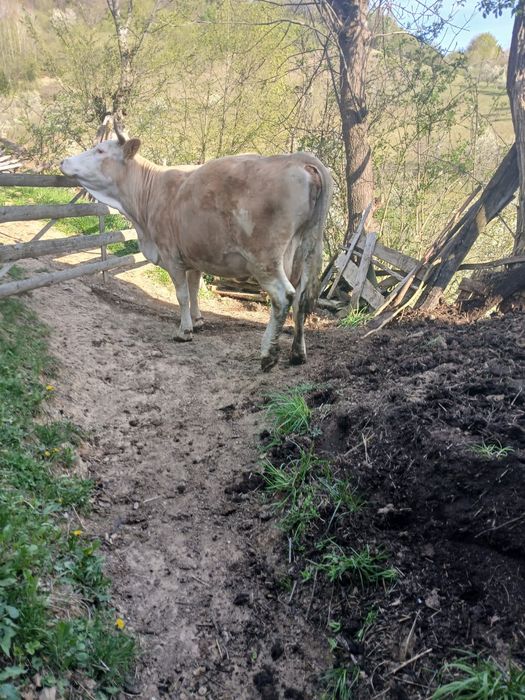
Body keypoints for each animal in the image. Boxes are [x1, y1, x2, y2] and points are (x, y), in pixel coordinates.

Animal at [60, 128, 333, 371]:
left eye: (100, 150)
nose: (64, 161)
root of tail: (297, 158)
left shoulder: (171, 254)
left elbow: (181, 294)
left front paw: (185, 330)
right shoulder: (194, 254)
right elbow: (194, 289)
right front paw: (198, 319)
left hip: (265, 259)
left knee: (283, 296)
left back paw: (268, 354)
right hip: (306, 251)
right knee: (301, 299)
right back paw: (298, 353)